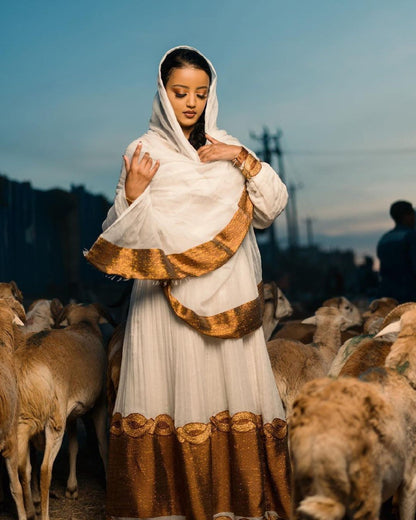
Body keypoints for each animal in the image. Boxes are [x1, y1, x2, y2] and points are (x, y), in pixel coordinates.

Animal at [16, 302, 109, 516]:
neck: (84, 325)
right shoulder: (99, 404)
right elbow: (102, 443)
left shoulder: (73, 414)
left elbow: (73, 447)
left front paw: (72, 488)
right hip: (55, 422)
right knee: (44, 470)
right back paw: (44, 514)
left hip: (21, 421)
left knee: (23, 468)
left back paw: (30, 511)